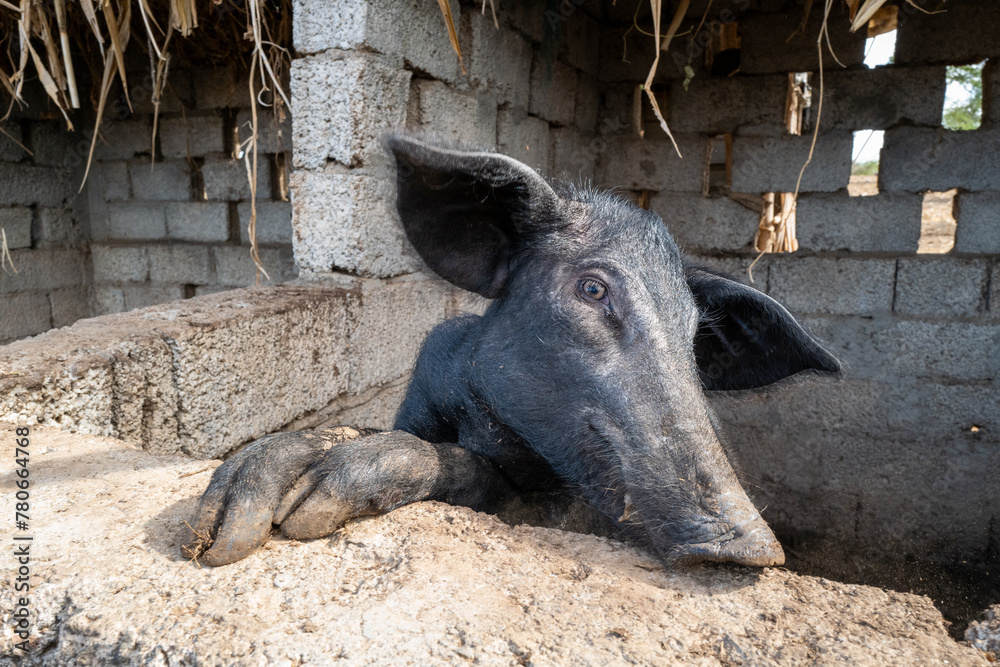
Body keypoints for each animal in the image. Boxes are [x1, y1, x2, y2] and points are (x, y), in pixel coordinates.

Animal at [182, 134, 841, 567]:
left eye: (692, 330)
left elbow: (480, 477)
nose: (761, 548)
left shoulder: (551, 502)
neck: (485, 423)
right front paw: (220, 538)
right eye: (592, 289)